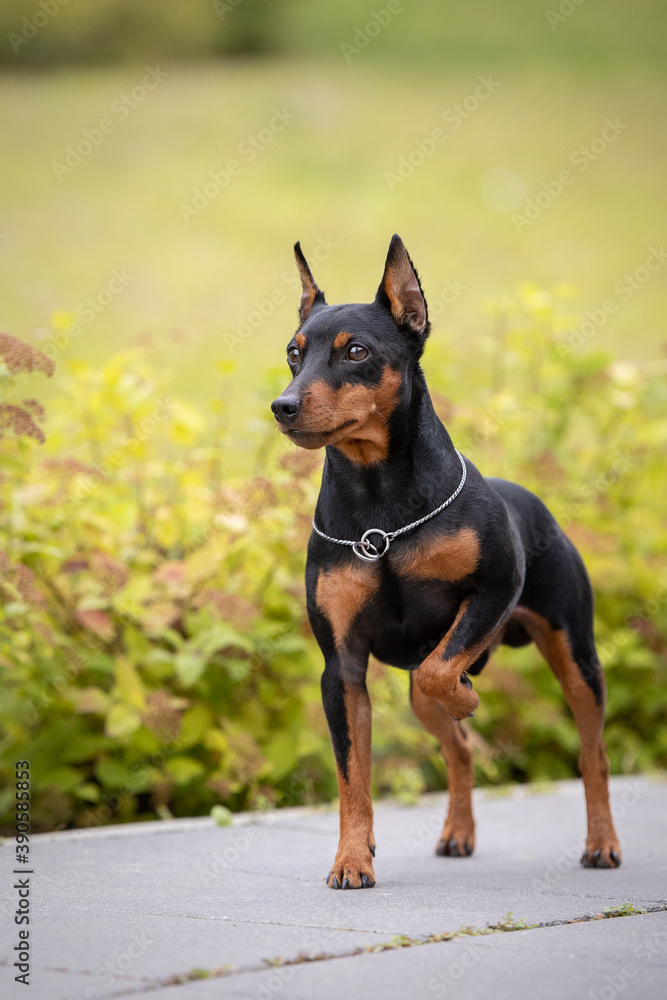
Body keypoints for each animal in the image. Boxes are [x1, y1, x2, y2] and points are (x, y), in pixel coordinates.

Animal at [270, 236, 620, 892]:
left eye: (356, 351)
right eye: (292, 353)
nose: (283, 405)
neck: (379, 506)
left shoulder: (495, 591)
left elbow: (442, 673)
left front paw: (467, 694)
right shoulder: (342, 669)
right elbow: (352, 777)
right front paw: (353, 859)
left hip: (575, 654)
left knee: (594, 753)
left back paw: (602, 844)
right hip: (414, 698)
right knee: (457, 747)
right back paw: (458, 832)